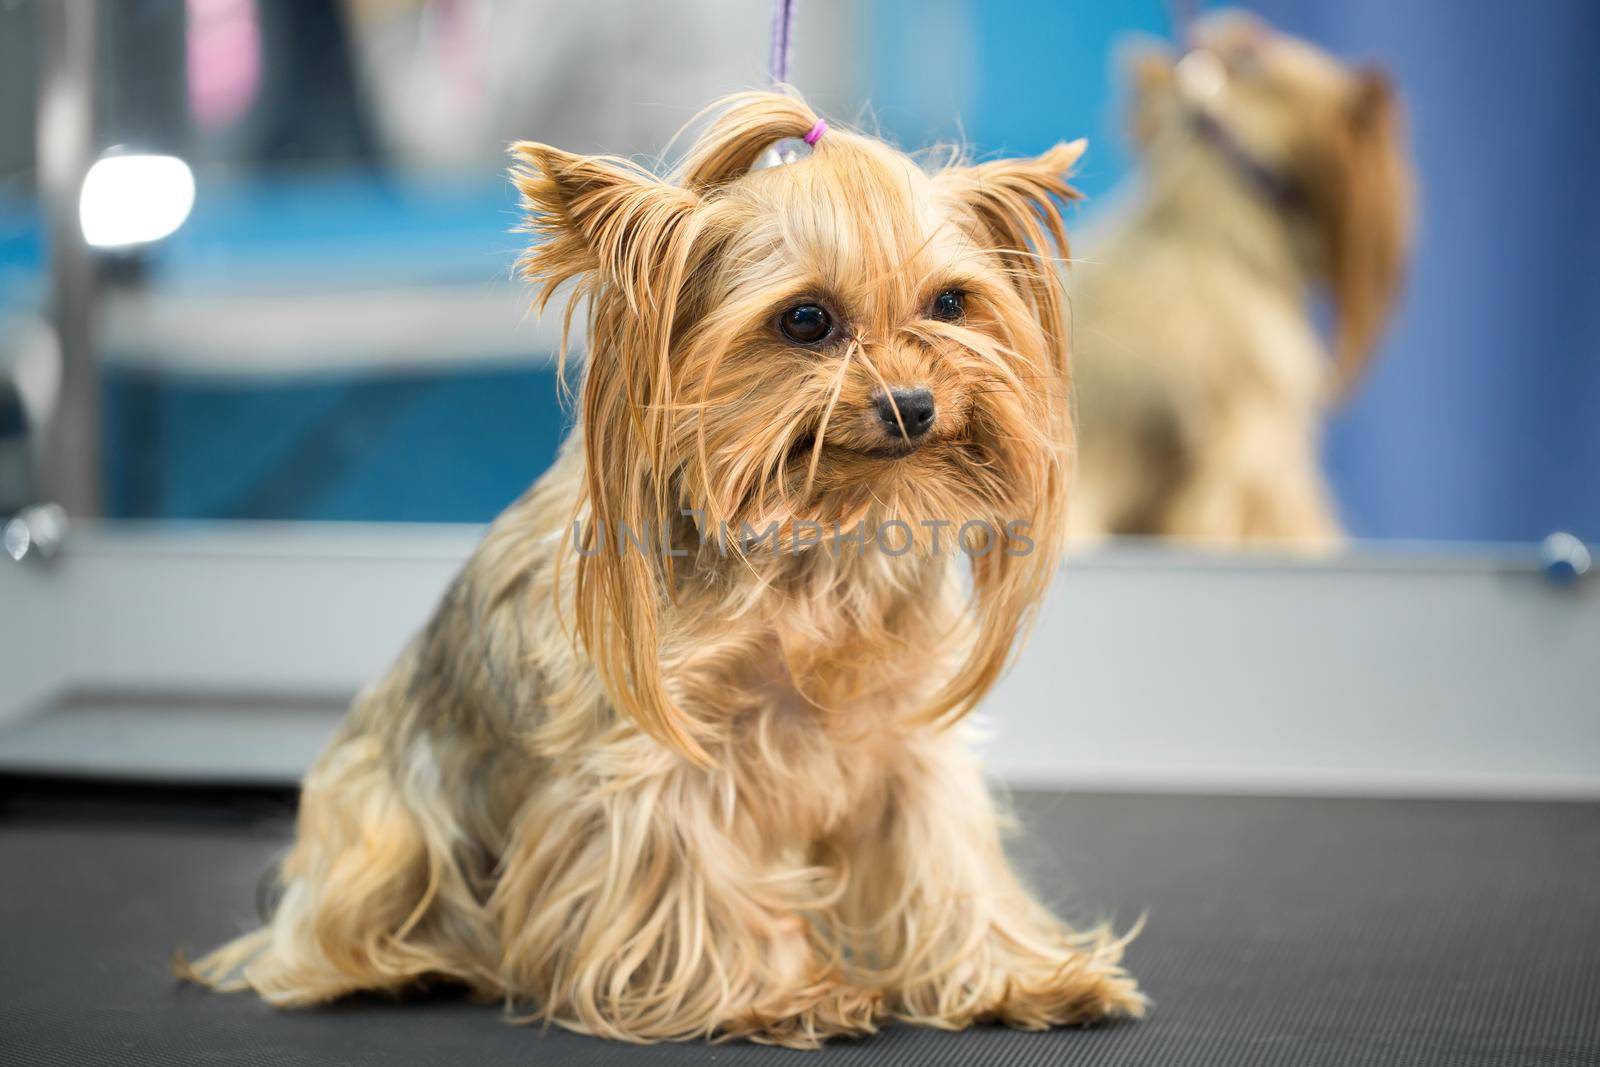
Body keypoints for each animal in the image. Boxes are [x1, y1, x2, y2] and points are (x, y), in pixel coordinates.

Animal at [184, 89, 1139, 1043]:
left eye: (950, 301)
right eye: (805, 319)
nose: (912, 404)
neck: (812, 541)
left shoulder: (905, 737)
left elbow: (946, 863)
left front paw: (1022, 973)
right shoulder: (654, 751)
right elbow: (689, 875)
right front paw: (781, 990)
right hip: (379, 820)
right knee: (340, 922)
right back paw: (403, 965)